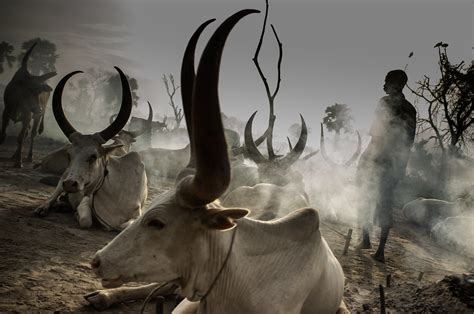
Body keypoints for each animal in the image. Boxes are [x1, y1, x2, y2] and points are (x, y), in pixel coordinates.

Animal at [35, 68, 147, 231]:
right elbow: (86, 221)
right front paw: (75, 214)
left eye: (93, 156)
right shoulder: (86, 200)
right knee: (53, 195)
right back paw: (46, 207)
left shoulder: (137, 214)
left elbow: (124, 226)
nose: (70, 184)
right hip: (63, 178)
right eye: (69, 156)